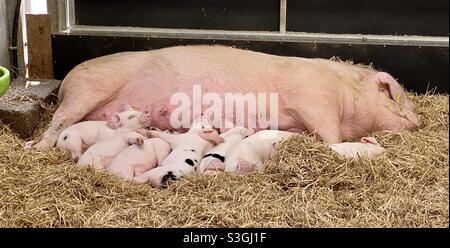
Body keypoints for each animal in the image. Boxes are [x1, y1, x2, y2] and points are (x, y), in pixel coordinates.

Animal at [24, 45, 420, 152]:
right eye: (395, 96)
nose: (421, 120)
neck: (346, 94)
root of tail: (67, 78)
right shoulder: (313, 99)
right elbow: (331, 136)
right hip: (86, 90)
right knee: (57, 122)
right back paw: (35, 146)